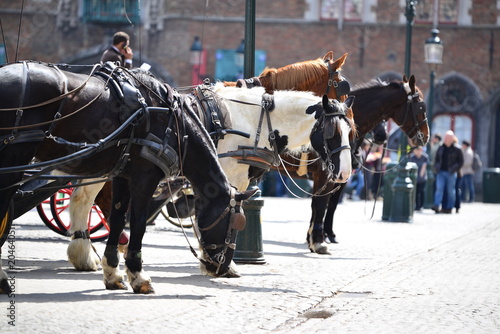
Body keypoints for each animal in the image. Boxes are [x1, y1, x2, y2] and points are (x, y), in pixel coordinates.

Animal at [0, 61, 256, 294]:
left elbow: (117, 218)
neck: (172, 122)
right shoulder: (145, 176)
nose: (222, 267)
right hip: (15, 157)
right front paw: (138, 274)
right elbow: (139, 222)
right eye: (236, 223)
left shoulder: (121, 176)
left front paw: (113, 272)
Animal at [67, 83, 356, 272]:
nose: (345, 173)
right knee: (84, 200)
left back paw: (86, 254)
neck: (256, 121)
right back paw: (87, 253)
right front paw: (218, 260)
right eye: (332, 132)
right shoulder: (226, 176)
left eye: (350, 130)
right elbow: (222, 212)